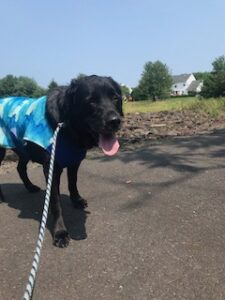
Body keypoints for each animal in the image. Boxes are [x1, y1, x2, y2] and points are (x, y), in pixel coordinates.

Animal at [0, 75, 123, 246]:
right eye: (91, 101)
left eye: (115, 98)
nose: (115, 121)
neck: (68, 127)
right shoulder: (51, 168)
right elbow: (55, 203)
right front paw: (60, 232)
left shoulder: (74, 161)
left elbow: (73, 182)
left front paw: (76, 200)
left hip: (23, 149)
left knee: (20, 168)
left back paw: (30, 187)